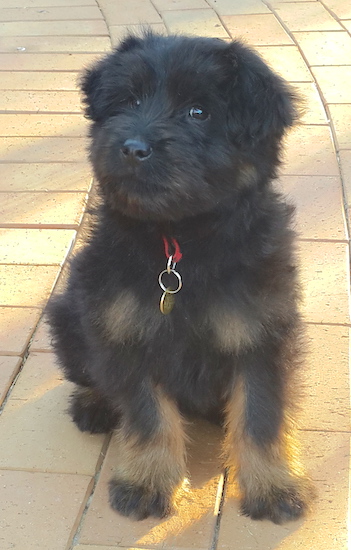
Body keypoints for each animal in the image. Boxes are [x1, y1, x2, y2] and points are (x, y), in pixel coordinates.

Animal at [46, 31, 314, 528]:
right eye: (129, 100)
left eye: (198, 111)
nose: (133, 148)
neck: (180, 245)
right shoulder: (126, 333)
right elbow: (149, 417)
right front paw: (149, 483)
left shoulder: (262, 335)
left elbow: (261, 417)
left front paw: (274, 485)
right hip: (69, 314)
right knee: (92, 374)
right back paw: (95, 404)